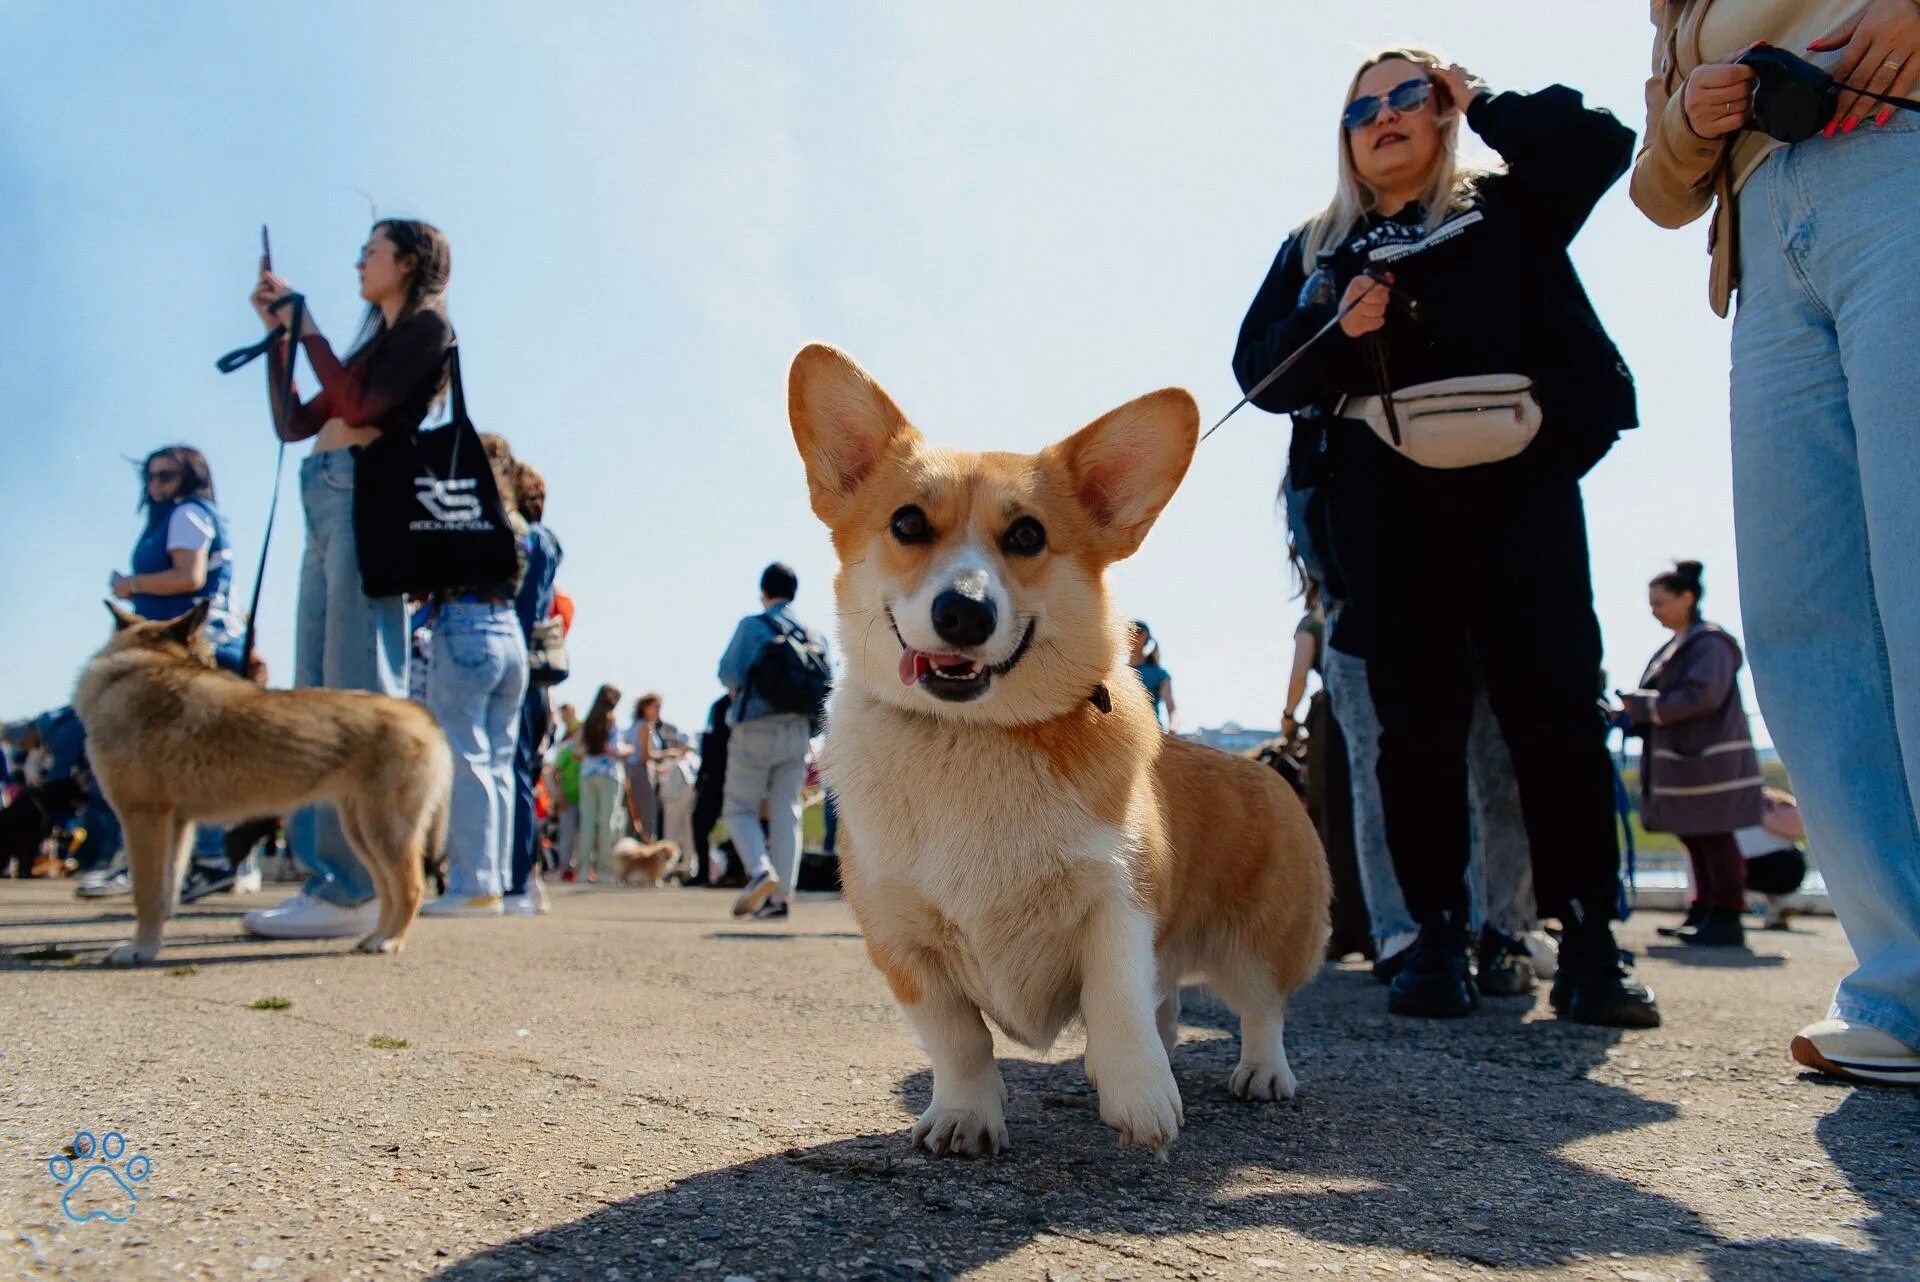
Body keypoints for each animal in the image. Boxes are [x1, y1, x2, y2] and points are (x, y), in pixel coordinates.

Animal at [72, 606, 451, 967]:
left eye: (210, 656)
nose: (224, 669)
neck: (136, 668)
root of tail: (423, 717)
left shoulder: (144, 817)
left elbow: (147, 895)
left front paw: (140, 949)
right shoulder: (174, 824)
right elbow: (165, 895)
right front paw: (151, 948)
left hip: (384, 831)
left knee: (411, 887)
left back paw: (392, 940)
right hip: (362, 831)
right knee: (387, 889)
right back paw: (376, 936)